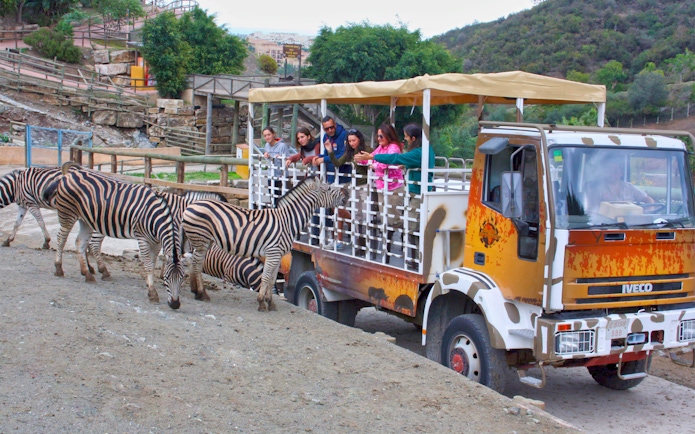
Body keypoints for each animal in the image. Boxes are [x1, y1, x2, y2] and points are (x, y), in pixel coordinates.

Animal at [42, 162, 186, 309]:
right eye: (167, 278)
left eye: (181, 278)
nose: (175, 304)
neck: (155, 217)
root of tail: (71, 173)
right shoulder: (142, 238)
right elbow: (148, 265)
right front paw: (152, 293)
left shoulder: (156, 242)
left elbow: (152, 262)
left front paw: (148, 283)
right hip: (68, 214)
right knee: (61, 239)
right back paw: (59, 268)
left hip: (86, 220)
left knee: (80, 243)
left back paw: (88, 274)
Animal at [182, 176, 348, 311]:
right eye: (328, 188)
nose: (345, 197)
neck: (287, 220)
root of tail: (191, 205)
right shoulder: (273, 252)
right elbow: (266, 277)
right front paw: (262, 302)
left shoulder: (277, 255)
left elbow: (272, 279)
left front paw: (270, 302)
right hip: (201, 240)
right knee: (196, 263)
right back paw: (202, 293)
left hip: (204, 241)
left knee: (193, 261)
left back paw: (197, 292)